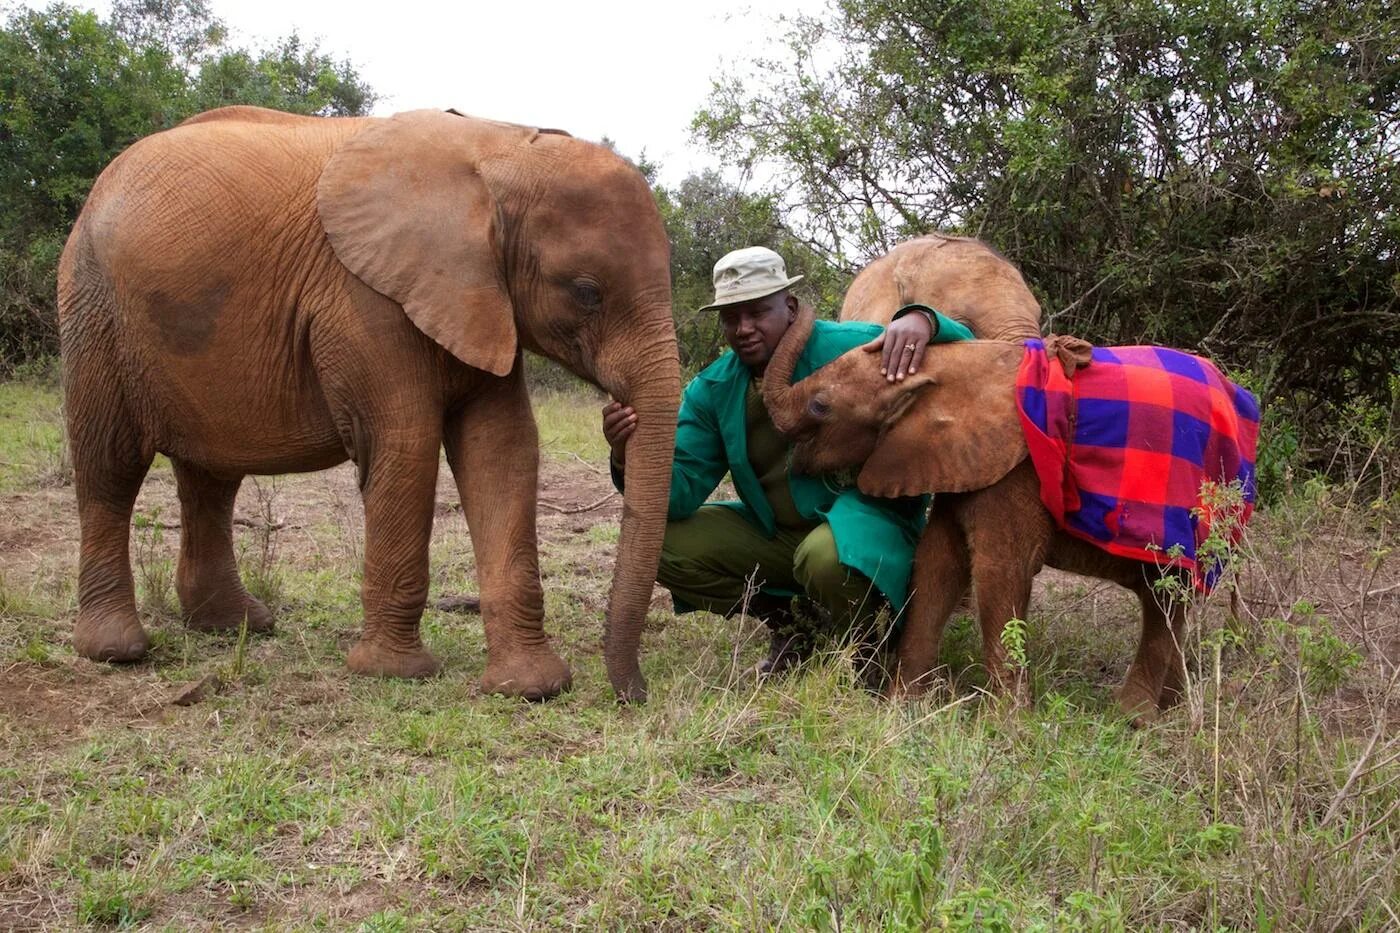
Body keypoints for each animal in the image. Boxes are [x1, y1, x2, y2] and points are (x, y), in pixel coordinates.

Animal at [57, 107, 680, 697]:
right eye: (586, 292)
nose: (633, 693)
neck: (500, 147)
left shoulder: (479, 299)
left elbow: (502, 448)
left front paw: (532, 688)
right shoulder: (366, 296)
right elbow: (405, 444)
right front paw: (394, 673)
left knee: (211, 479)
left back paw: (237, 626)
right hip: (94, 308)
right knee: (111, 466)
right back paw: (116, 650)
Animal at [767, 308, 1260, 722]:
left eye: (820, 407)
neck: (941, 367)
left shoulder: (1014, 471)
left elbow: (998, 572)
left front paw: (1003, 725)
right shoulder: (963, 459)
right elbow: (937, 567)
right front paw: (901, 708)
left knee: (1164, 599)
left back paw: (1131, 720)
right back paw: (1174, 709)